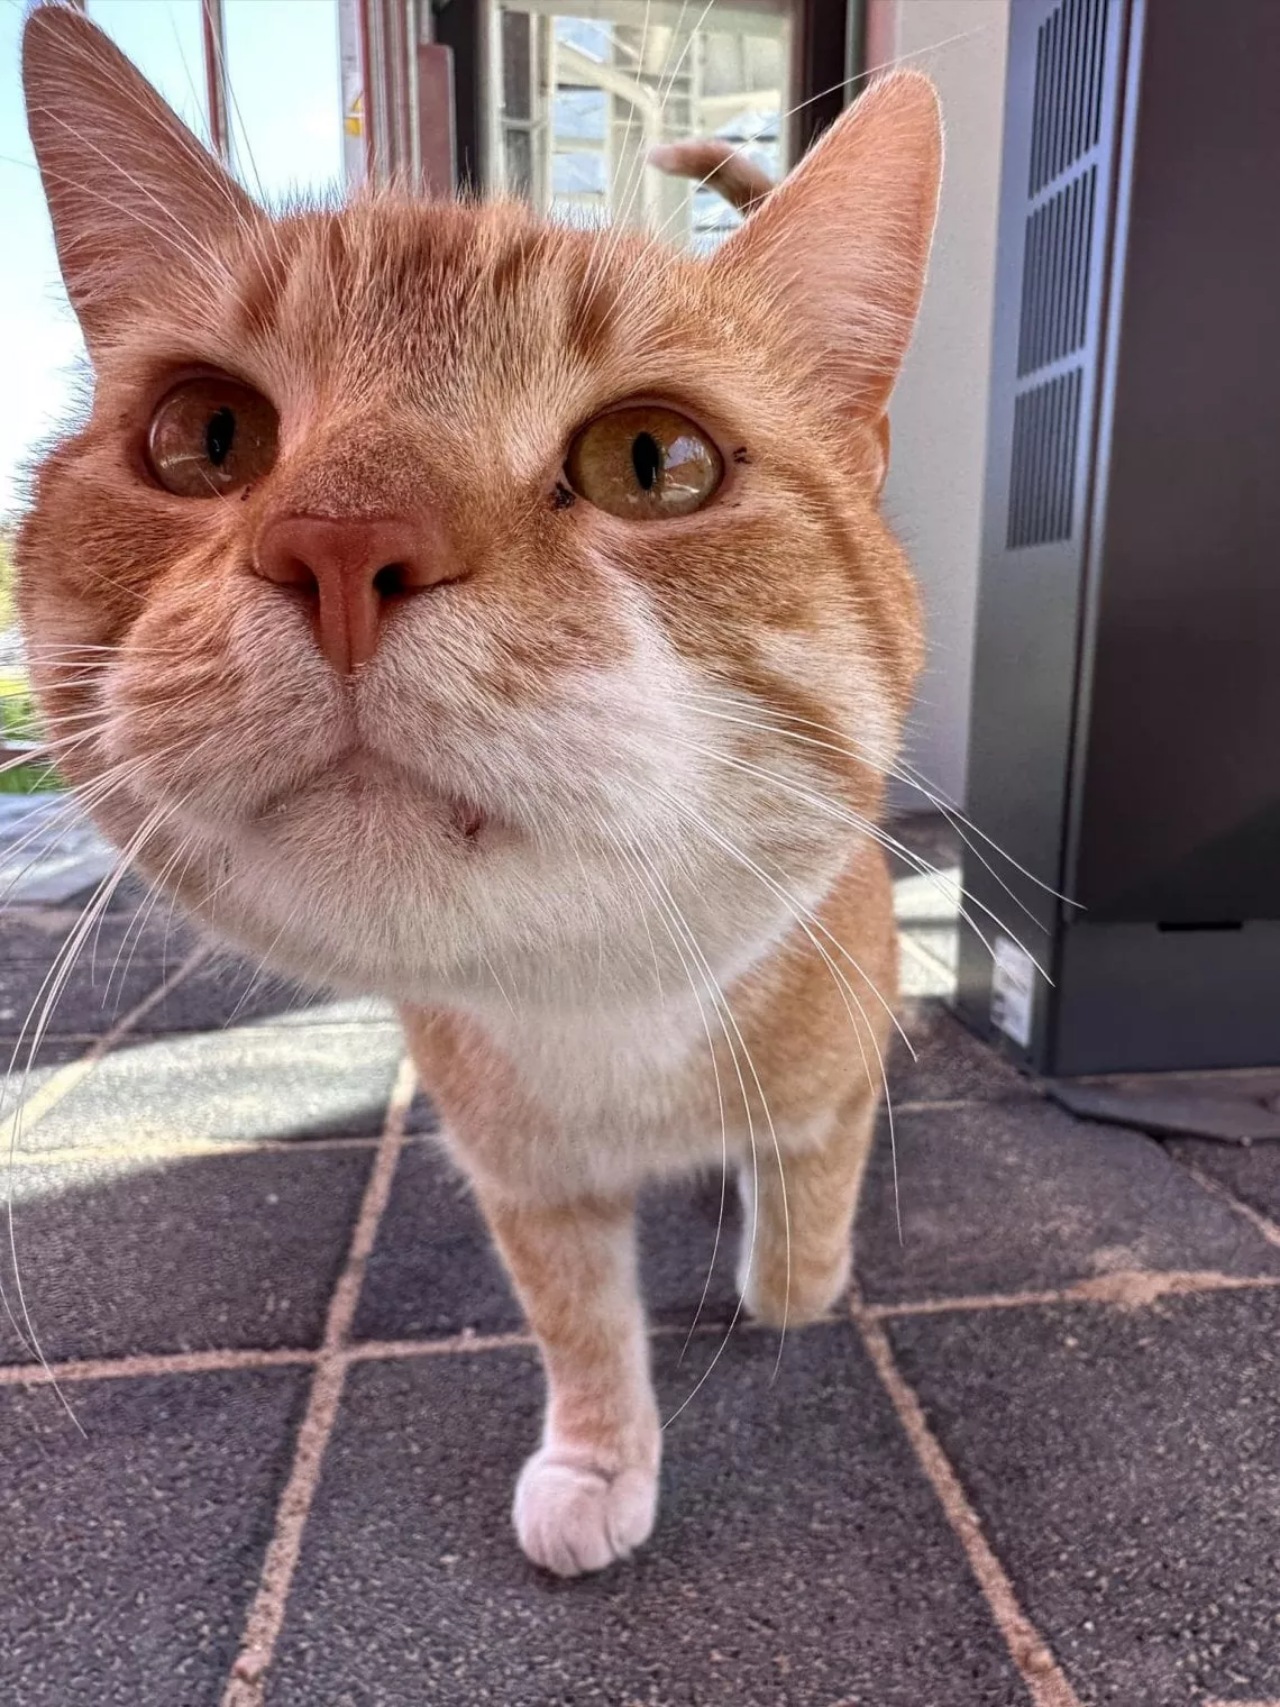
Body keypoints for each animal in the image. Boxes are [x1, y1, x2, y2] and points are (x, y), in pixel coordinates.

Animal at [17, 3, 942, 1570]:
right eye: (205, 436)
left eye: (654, 460)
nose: (341, 545)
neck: (601, 1003)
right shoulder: (528, 1183)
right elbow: (580, 1327)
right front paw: (599, 1459)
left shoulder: (833, 1090)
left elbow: (802, 1247)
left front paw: (776, 1271)